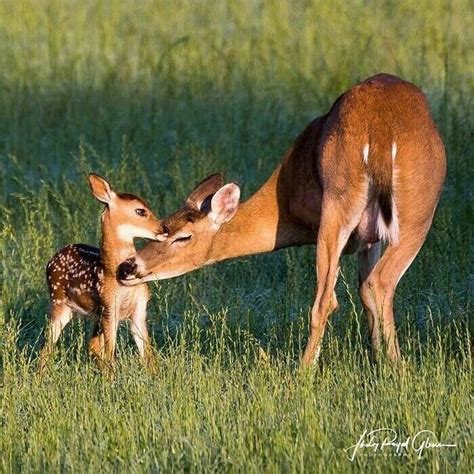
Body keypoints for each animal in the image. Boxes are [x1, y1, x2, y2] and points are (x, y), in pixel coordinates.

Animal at [39, 174, 161, 374]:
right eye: (140, 211)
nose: (164, 228)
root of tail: (51, 260)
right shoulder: (110, 306)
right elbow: (111, 353)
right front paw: (112, 380)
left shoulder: (139, 309)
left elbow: (148, 354)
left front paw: (154, 377)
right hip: (59, 302)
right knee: (46, 347)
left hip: (96, 313)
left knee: (92, 344)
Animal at [117, 74, 444, 364]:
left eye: (183, 236)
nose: (128, 267)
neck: (286, 203)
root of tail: (379, 131)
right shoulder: (368, 238)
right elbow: (363, 291)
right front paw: (379, 359)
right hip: (401, 207)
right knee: (368, 286)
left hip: (367, 204)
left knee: (345, 293)